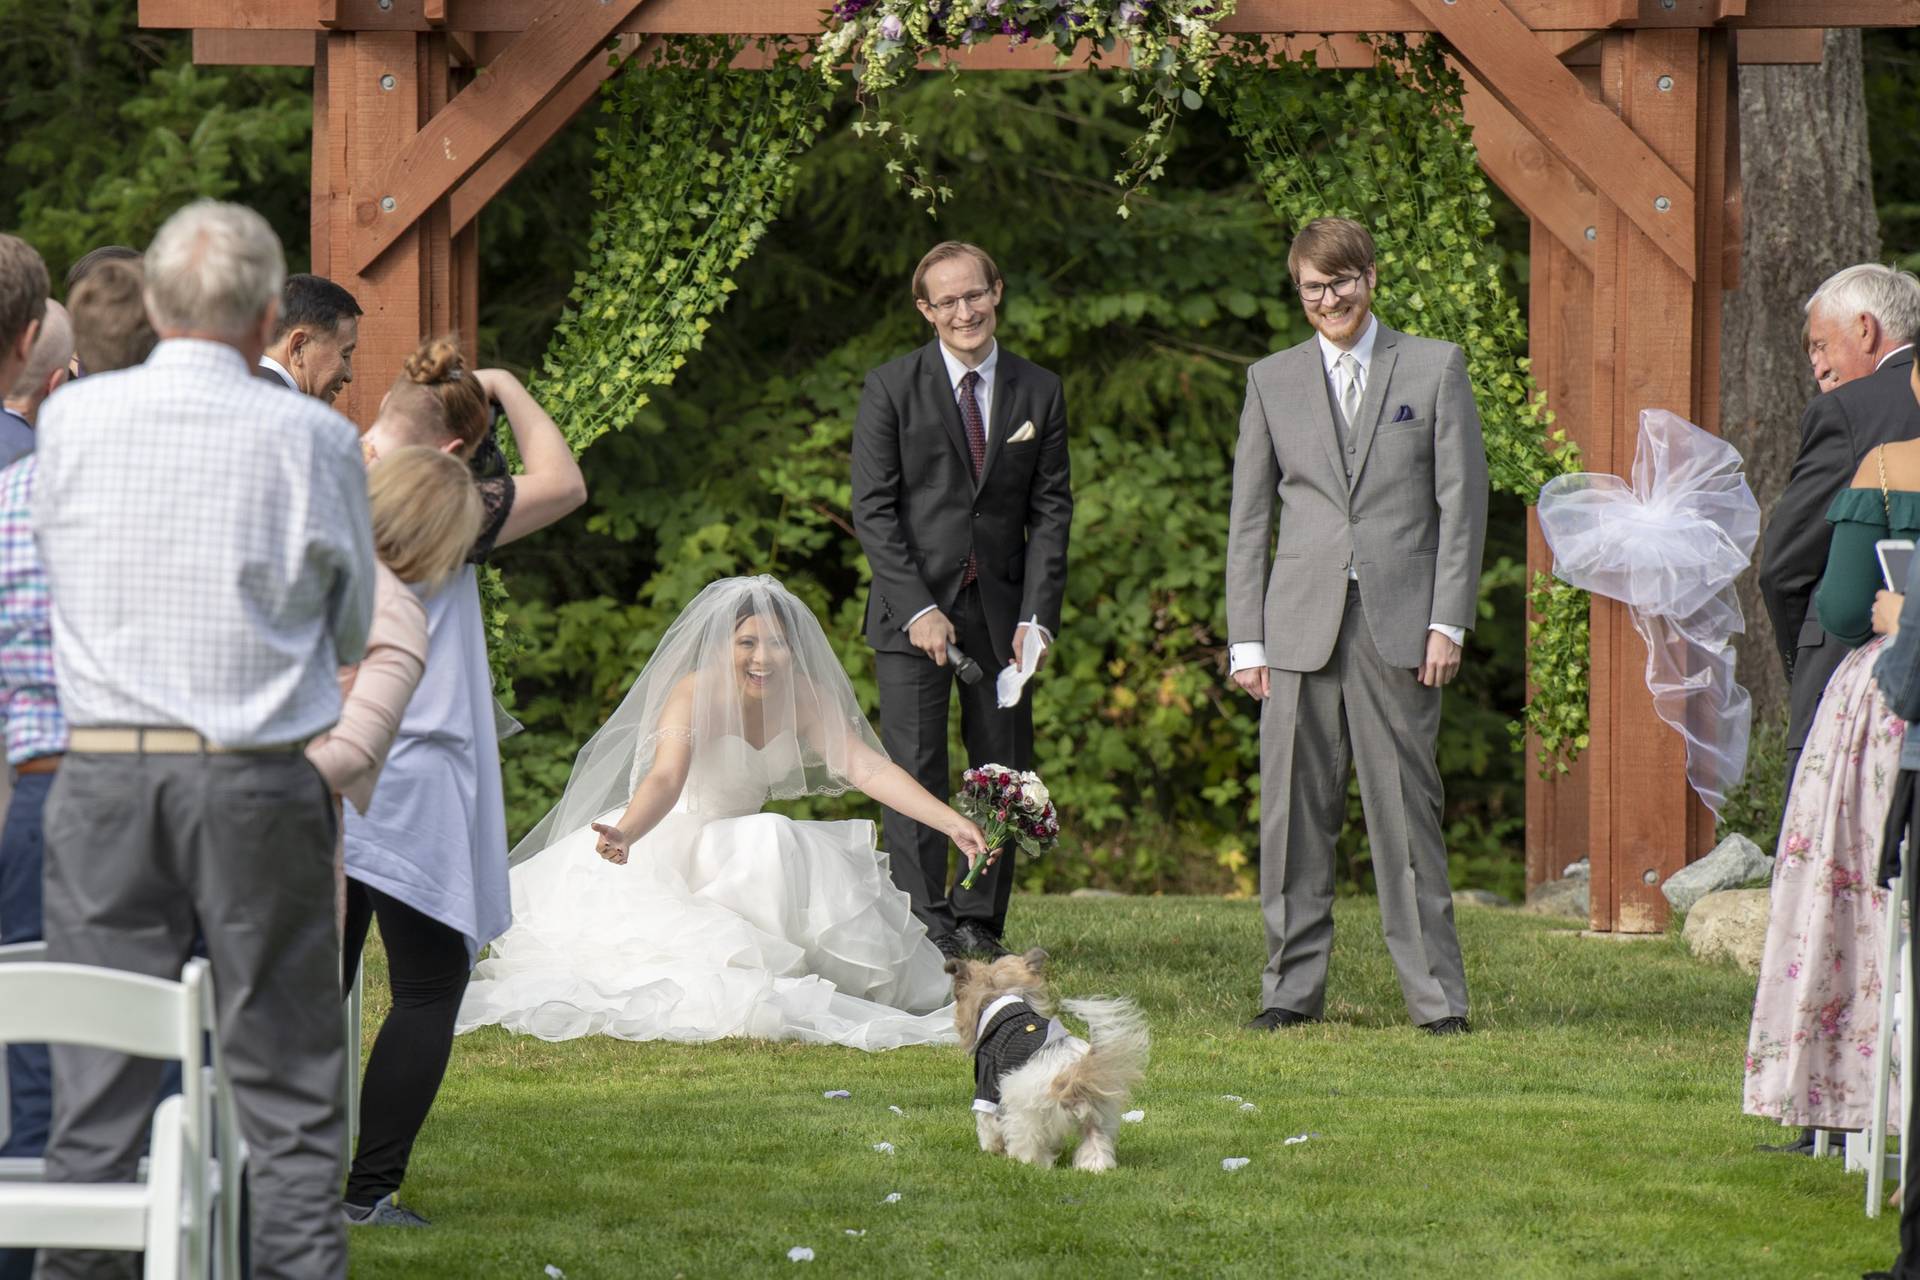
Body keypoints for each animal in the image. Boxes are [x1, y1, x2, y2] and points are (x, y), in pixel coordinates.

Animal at [940, 951, 1136, 1174]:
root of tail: (1073, 1071)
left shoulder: (987, 1080)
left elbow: (987, 1122)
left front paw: (992, 1148)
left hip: (1026, 1111)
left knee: (1028, 1143)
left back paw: (1024, 1162)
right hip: (1098, 1113)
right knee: (1095, 1141)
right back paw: (1094, 1167)